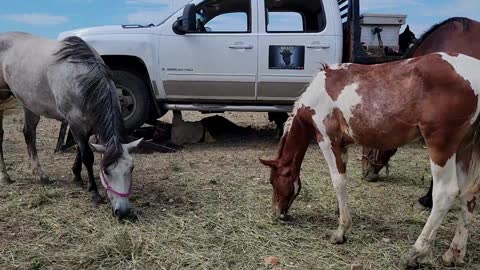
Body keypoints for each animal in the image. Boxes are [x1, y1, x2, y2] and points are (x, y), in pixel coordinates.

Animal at [0, 32, 142, 219]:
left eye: (131, 168)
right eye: (106, 171)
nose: (123, 212)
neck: (82, 78)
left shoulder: (87, 126)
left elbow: (80, 152)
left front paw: (77, 177)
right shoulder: (75, 124)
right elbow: (87, 155)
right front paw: (94, 193)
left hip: (29, 104)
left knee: (29, 134)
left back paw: (40, 175)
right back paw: (6, 176)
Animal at [260, 52, 480, 268]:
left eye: (273, 181)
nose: (277, 213)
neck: (318, 94)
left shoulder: (327, 140)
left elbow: (338, 181)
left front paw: (341, 231)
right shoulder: (343, 146)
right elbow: (342, 183)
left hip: (441, 147)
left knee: (445, 193)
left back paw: (415, 253)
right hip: (464, 149)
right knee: (468, 195)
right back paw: (454, 254)